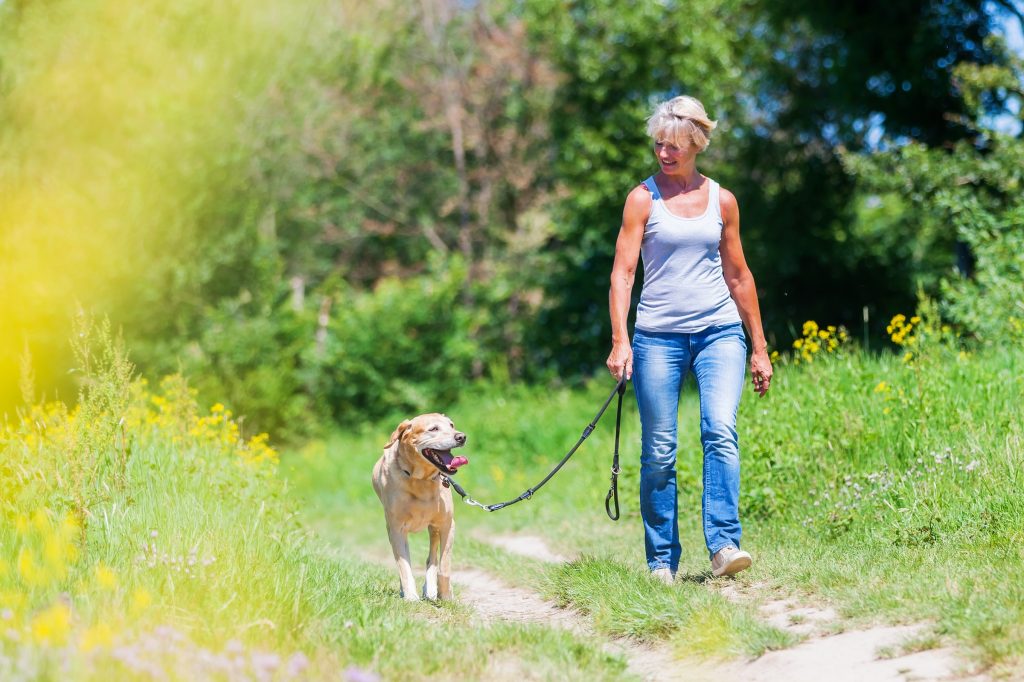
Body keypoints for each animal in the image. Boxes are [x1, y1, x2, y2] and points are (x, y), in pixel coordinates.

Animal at [372, 411, 468, 598]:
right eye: (434, 429)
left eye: (451, 425)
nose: (461, 437)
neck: (420, 480)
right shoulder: (396, 529)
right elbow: (404, 566)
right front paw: (410, 596)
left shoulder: (447, 525)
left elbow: (444, 566)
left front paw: (446, 595)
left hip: (434, 529)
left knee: (432, 557)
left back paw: (430, 588)